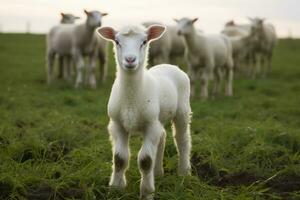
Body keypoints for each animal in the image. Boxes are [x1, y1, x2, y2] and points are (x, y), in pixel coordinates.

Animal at [98, 24, 192, 199]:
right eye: (117, 41)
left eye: (144, 41)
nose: (130, 60)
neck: (131, 99)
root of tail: (169, 65)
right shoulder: (117, 124)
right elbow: (119, 158)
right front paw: (116, 188)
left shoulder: (150, 125)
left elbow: (145, 160)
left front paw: (147, 193)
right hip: (158, 119)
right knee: (162, 137)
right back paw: (158, 172)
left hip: (182, 110)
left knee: (182, 140)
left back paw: (184, 172)